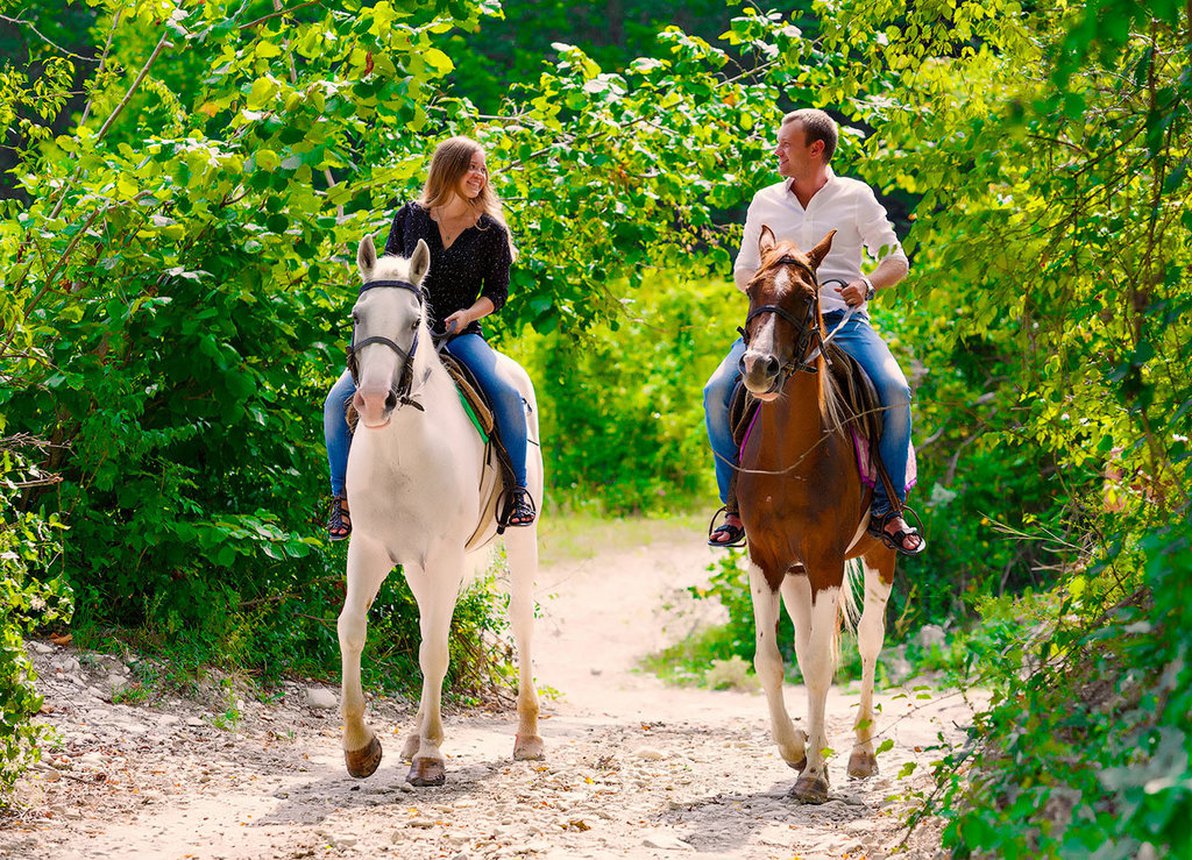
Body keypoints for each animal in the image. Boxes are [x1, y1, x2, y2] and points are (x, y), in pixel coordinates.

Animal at [338, 234, 545, 787]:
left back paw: (528, 736)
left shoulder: (446, 554)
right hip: (415, 565)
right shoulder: (368, 548)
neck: (402, 450)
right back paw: (411, 737)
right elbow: (352, 628)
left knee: (520, 620)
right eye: (358, 316)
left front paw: (430, 756)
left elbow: (433, 649)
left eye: (414, 322)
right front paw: (361, 747)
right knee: (429, 618)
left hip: (521, 539)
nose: (373, 402)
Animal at [734, 224, 896, 801]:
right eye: (752, 290)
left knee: (869, 641)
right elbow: (771, 660)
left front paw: (814, 777)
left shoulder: (828, 562)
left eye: (807, 296)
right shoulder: (766, 560)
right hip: (798, 573)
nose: (758, 367)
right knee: (805, 649)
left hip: (878, 554)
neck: (793, 455)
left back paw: (862, 752)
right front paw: (795, 750)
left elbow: (827, 663)